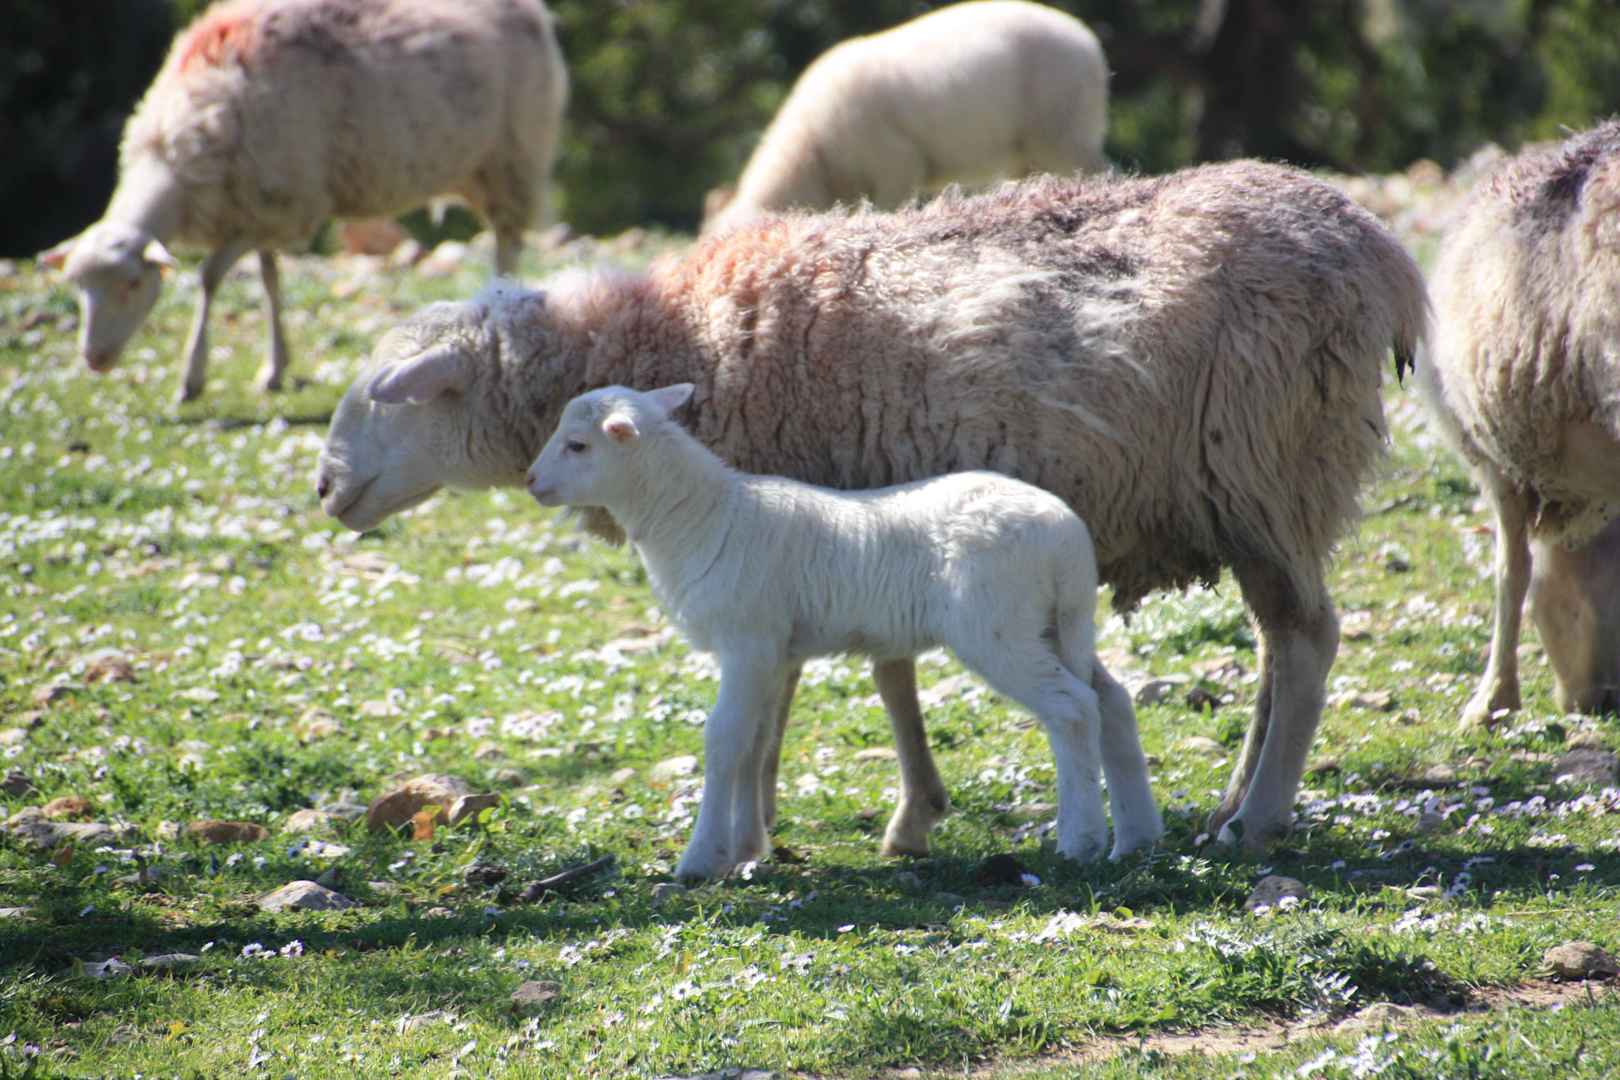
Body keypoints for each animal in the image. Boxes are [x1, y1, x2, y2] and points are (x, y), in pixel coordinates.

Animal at [39, 0, 567, 403]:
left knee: (507, 243)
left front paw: (192, 378)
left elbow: (209, 278)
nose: (94, 359)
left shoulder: (287, 203)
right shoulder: (261, 204)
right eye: (77, 288)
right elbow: (270, 280)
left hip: (512, 157)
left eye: (132, 284)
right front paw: (274, 369)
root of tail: (532, 11)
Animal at [525, 382, 1163, 879]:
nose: (532, 482)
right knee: (1112, 701)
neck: (700, 516)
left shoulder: (746, 639)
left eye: (578, 445)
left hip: (998, 627)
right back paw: (1137, 837)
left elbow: (724, 738)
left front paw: (701, 859)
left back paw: (1081, 839)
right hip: (1054, 623)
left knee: (1072, 709)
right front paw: (745, 847)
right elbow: (757, 743)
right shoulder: (773, 650)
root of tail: (1066, 536)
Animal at [704, 1, 1108, 234]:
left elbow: (890, 204)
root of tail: (1090, 44)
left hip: (1059, 119)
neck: (813, 155)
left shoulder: (893, 161)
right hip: (1028, 145)